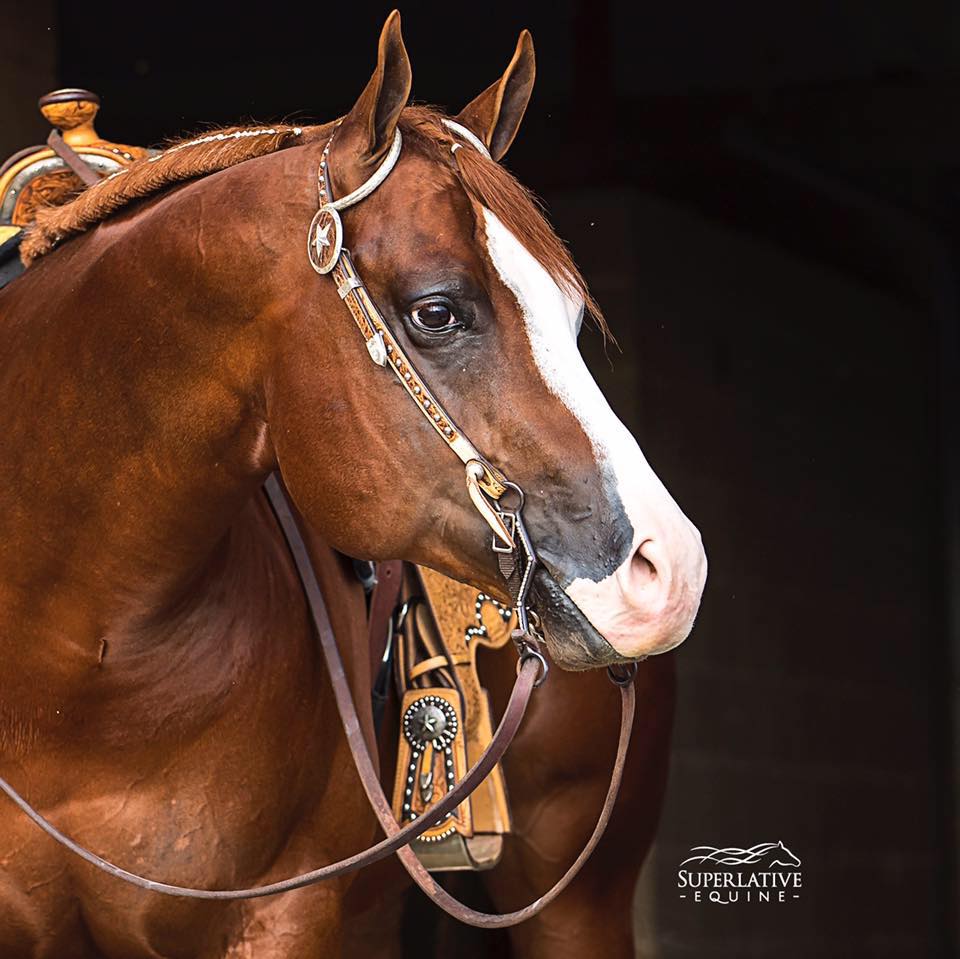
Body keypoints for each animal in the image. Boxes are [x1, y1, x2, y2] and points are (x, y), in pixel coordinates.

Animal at [0, 11, 704, 956]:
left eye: (569, 313)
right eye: (437, 310)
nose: (668, 568)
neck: (75, 668)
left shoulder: (282, 916)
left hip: (574, 902)